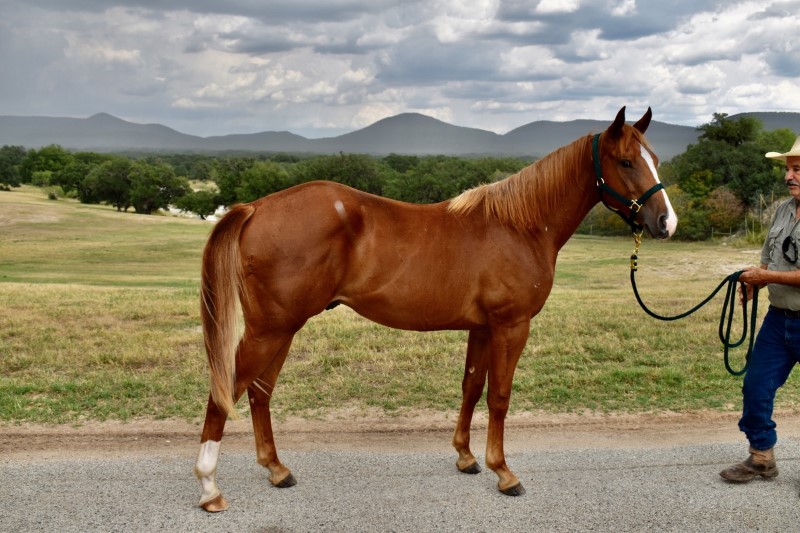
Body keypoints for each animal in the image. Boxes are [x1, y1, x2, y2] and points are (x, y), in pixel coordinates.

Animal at [192, 106, 676, 510]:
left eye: (654, 157)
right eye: (626, 162)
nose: (666, 222)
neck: (519, 226)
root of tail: (256, 207)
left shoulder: (482, 328)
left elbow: (472, 388)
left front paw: (466, 457)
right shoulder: (511, 326)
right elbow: (499, 396)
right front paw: (504, 472)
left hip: (282, 329)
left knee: (259, 392)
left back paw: (276, 470)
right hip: (270, 329)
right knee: (226, 391)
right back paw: (210, 487)